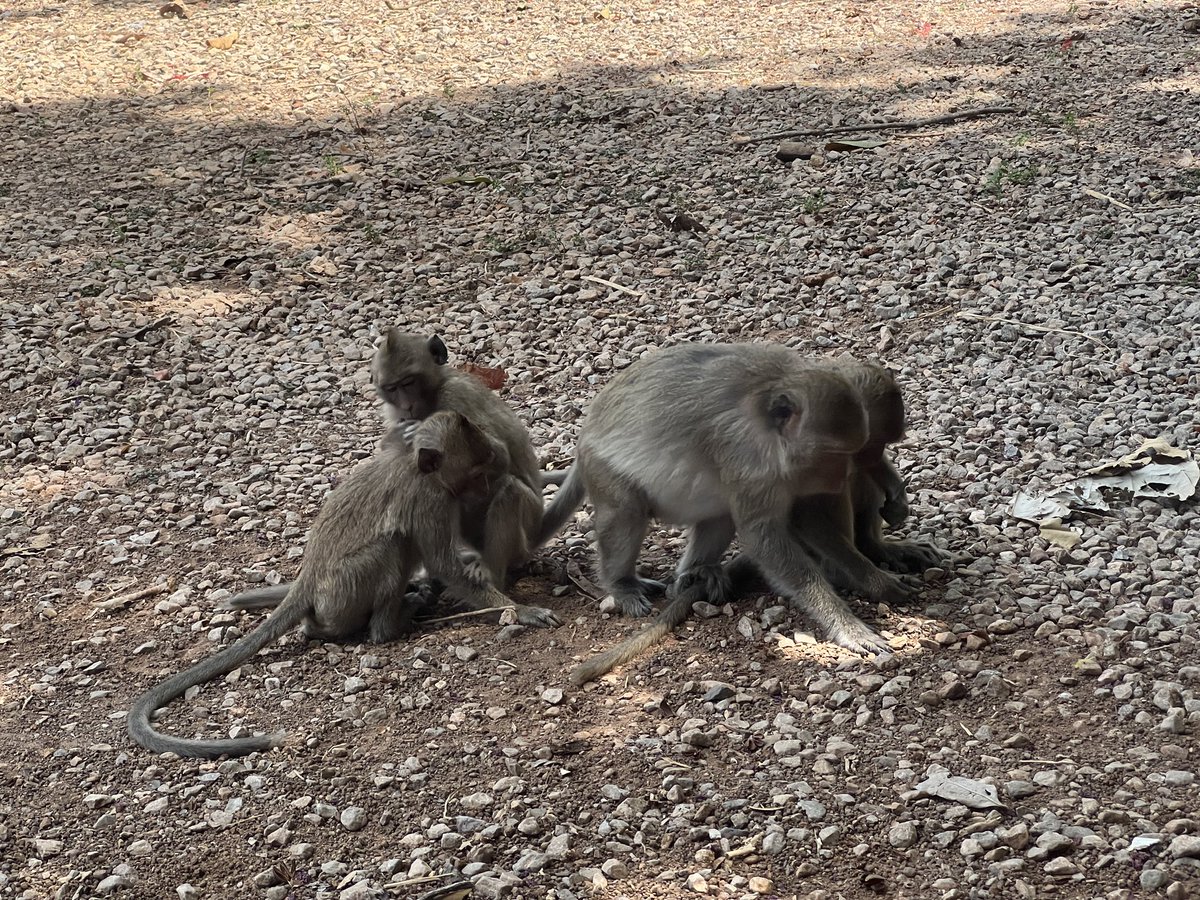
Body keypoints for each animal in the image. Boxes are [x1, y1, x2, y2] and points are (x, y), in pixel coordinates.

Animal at [127, 412, 560, 759]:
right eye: (476, 474)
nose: (485, 488)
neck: (415, 465)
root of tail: (308, 580)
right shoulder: (429, 500)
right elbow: (445, 565)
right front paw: (520, 610)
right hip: (345, 590)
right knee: (392, 546)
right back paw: (390, 623)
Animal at [536, 341, 891, 657]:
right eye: (835, 456)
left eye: (855, 451)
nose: (843, 476)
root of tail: (583, 439)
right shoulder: (747, 457)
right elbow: (764, 538)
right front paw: (847, 624)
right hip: (604, 469)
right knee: (626, 511)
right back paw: (621, 582)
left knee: (720, 514)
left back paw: (695, 573)